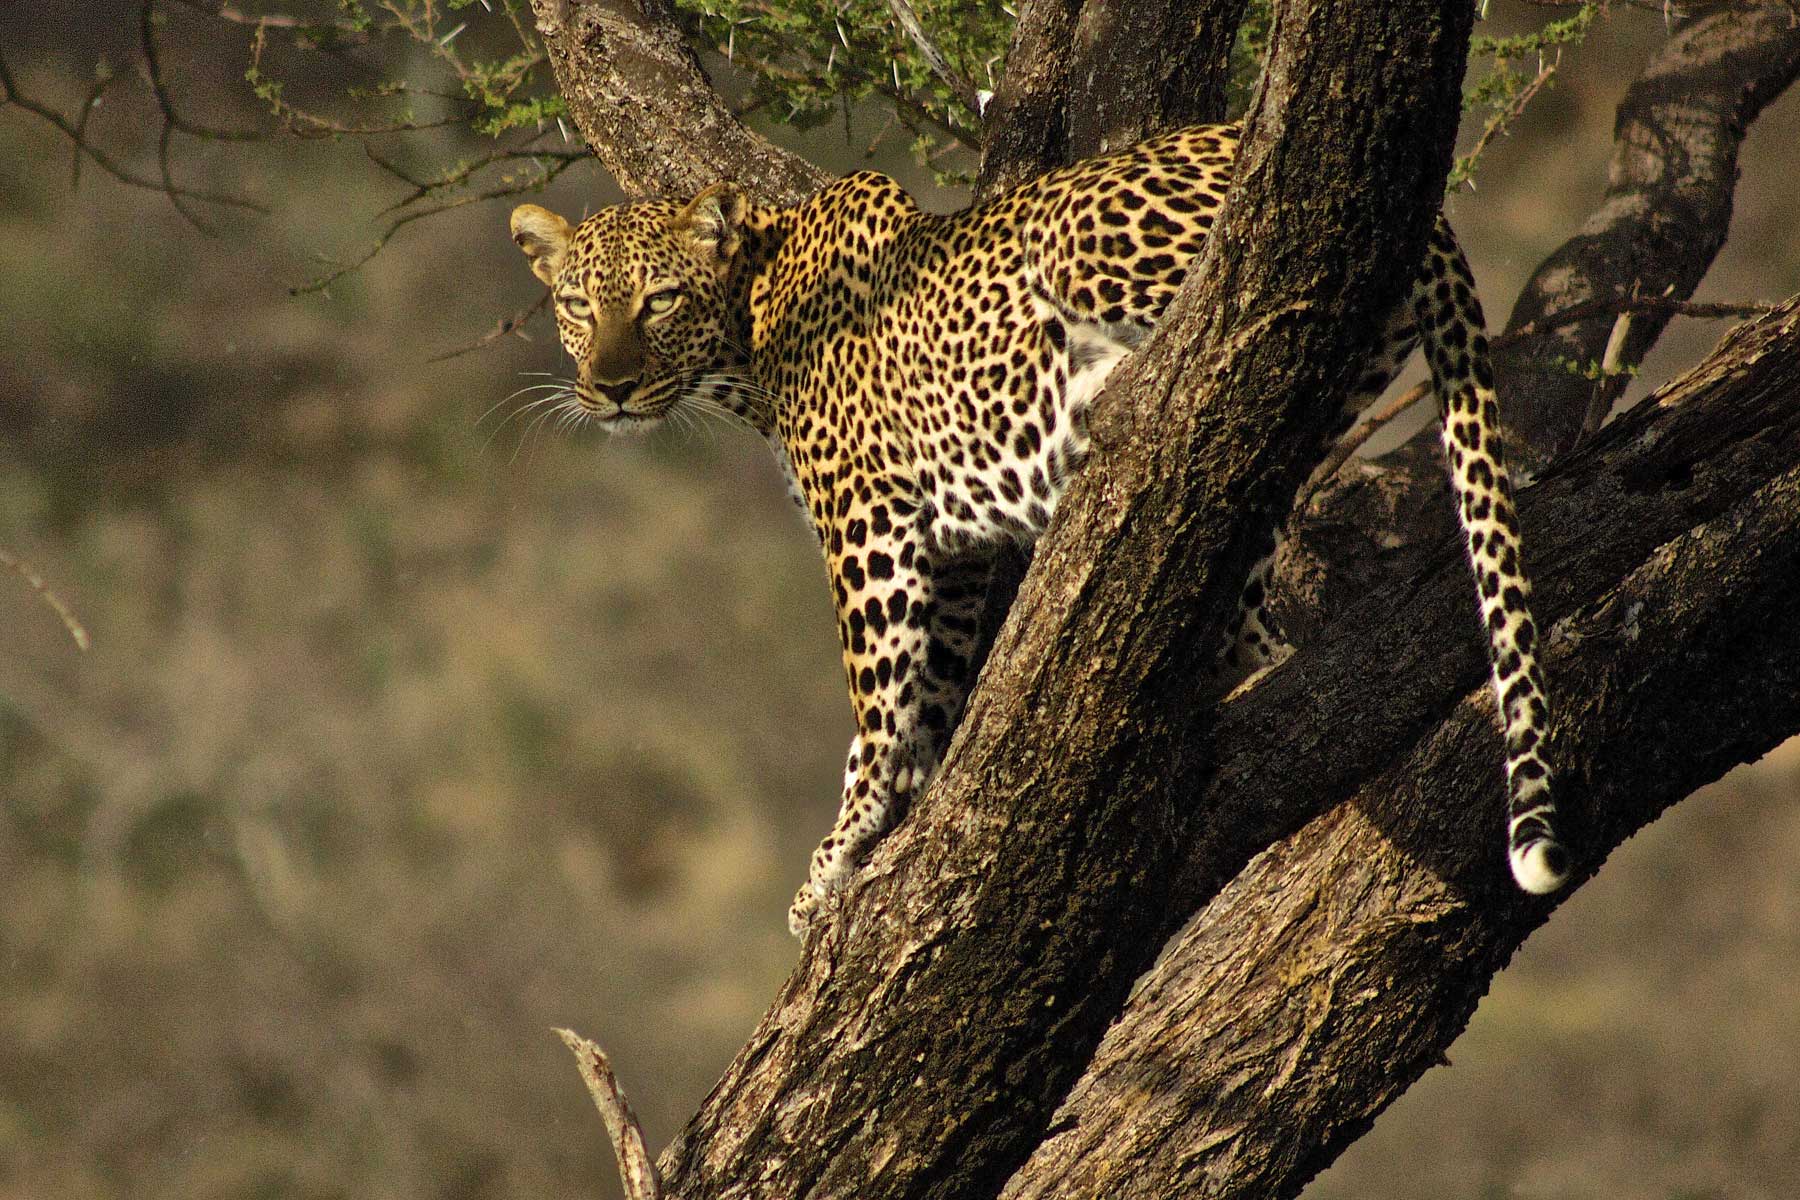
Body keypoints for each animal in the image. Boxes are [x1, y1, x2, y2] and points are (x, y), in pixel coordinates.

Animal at [509, 123, 1570, 936]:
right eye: (577, 306)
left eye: (659, 302)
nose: (608, 387)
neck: (747, 329)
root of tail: (1430, 211)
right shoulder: (949, 554)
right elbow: (927, 693)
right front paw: (898, 807)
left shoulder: (865, 525)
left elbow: (873, 702)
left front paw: (837, 856)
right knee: (1258, 580)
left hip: (1084, 235)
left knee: (1234, 318)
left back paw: (1092, 388)